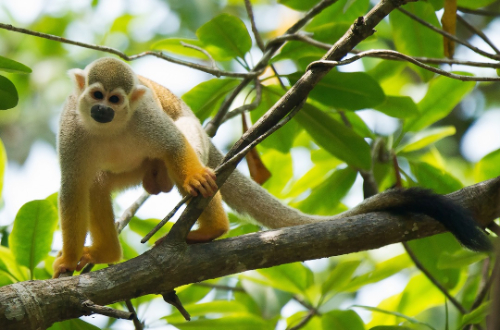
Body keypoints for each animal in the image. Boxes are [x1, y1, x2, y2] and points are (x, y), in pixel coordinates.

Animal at [53, 58, 488, 278]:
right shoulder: (70, 129)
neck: (109, 127)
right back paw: (108, 251)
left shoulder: (145, 119)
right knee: (97, 183)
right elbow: (73, 188)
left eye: (115, 99)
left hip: (190, 135)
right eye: (96, 95)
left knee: (185, 148)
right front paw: (69, 261)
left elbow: (174, 146)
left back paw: (211, 226)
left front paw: (195, 181)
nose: (103, 110)